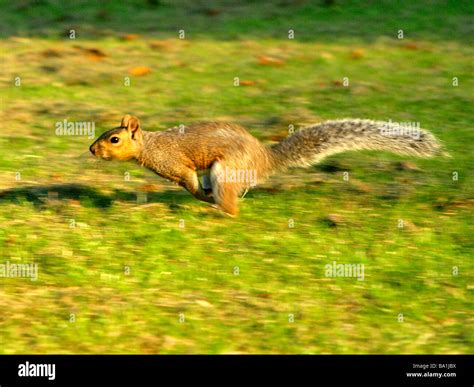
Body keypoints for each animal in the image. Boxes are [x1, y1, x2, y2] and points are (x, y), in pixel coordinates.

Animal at [89, 115, 444, 217]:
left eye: (114, 139)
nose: (92, 149)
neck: (150, 146)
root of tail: (264, 158)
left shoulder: (176, 164)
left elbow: (190, 181)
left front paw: (201, 196)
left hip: (226, 170)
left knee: (232, 205)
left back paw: (218, 212)